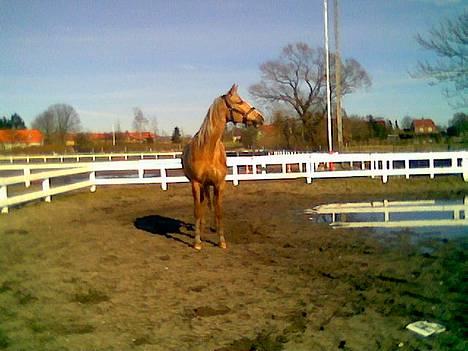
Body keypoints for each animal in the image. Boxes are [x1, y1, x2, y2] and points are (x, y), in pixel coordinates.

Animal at [182, 85, 264, 250]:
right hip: (202, 185)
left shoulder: (219, 184)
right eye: (239, 101)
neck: (207, 149)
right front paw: (197, 242)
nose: (260, 117)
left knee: (211, 204)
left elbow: (219, 212)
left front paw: (221, 241)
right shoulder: (196, 184)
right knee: (202, 205)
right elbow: (197, 211)